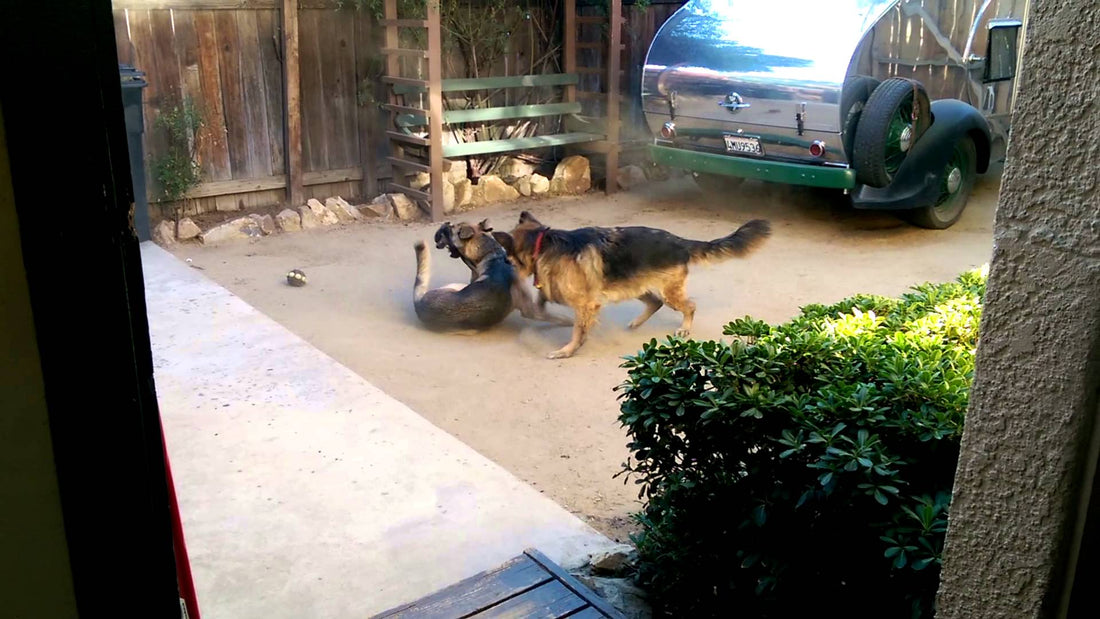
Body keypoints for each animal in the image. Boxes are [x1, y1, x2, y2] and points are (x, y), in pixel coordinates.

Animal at [411, 218, 572, 332]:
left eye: (450, 229)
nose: (444, 224)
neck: (493, 256)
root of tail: (419, 304)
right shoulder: (529, 309)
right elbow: (554, 317)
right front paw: (567, 321)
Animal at [501, 212, 774, 358]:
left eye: (508, 254)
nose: (504, 263)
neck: (543, 242)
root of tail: (680, 241)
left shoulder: (585, 304)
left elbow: (578, 329)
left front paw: (568, 350)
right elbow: (545, 298)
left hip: (667, 291)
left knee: (689, 306)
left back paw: (685, 328)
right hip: (634, 285)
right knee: (655, 302)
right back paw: (637, 323)